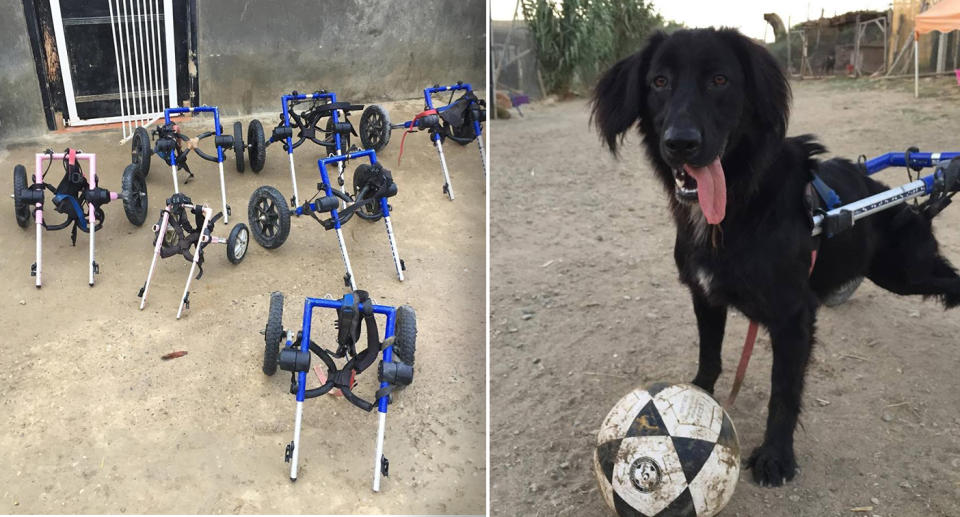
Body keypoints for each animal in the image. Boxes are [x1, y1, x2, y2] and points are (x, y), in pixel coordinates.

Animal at [592, 28, 960, 486]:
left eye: (720, 80)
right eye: (659, 82)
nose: (681, 143)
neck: (739, 206)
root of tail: (906, 199)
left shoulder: (793, 317)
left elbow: (783, 392)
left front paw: (776, 457)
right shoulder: (705, 296)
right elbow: (709, 356)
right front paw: (698, 395)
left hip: (906, 272)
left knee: (950, 278)